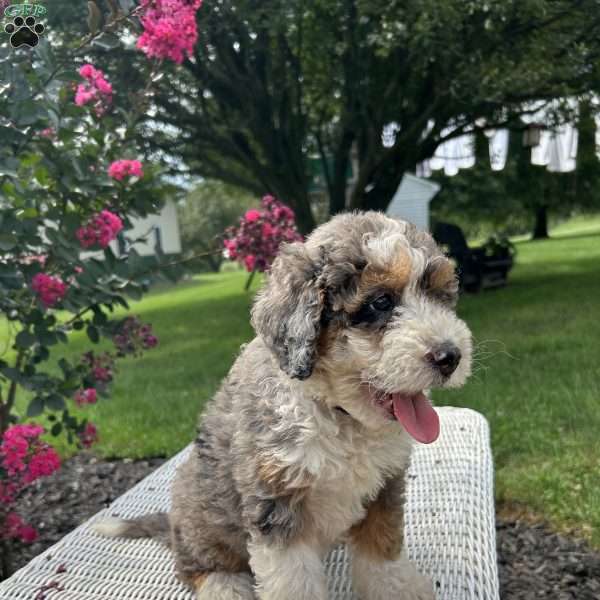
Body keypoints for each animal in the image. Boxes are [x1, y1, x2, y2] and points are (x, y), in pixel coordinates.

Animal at [96, 212, 474, 600]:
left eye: (440, 297)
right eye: (381, 302)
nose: (450, 357)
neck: (338, 416)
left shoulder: (385, 486)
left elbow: (381, 547)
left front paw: (396, 588)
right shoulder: (275, 501)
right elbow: (295, 580)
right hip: (201, 515)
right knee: (198, 564)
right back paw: (224, 586)